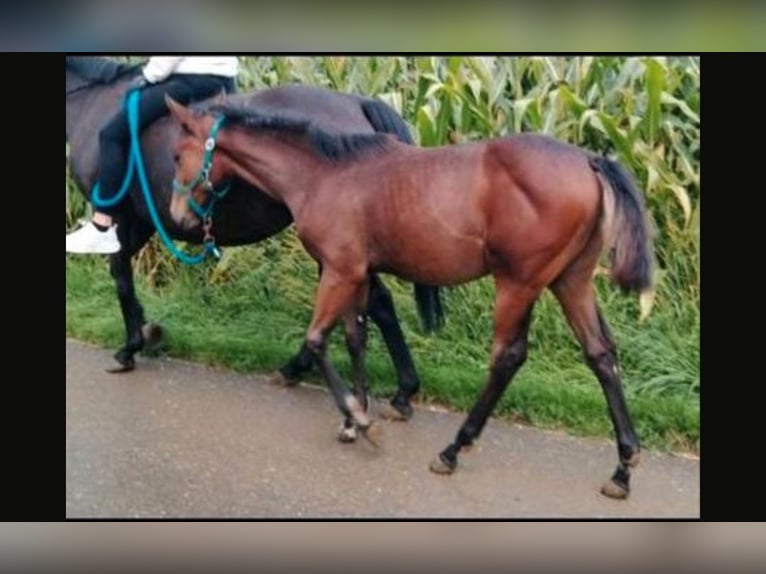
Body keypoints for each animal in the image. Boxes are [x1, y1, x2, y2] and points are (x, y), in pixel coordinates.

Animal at [66, 56, 445, 422]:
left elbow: (120, 276)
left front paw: (131, 346)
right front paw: (147, 333)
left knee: (376, 303)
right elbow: (123, 274)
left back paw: (395, 391)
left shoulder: (120, 217)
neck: (91, 100)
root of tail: (357, 103)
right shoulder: (142, 221)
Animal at [166, 98, 655, 499]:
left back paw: (453, 448)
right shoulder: (358, 274)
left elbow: (318, 339)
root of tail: (589, 160)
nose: (178, 216)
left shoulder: (340, 271)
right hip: (571, 281)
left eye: (175, 154)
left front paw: (361, 420)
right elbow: (355, 339)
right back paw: (623, 469)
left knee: (508, 357)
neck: (326, 173)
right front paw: (353, 420)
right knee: (601, 354)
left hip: (519, 282)